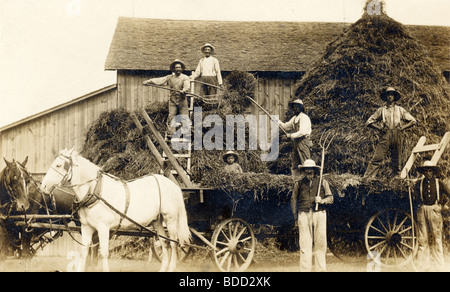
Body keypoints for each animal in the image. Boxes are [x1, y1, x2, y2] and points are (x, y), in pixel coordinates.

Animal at [39, 149, 192, 272]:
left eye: (59, 165)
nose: (43, 186)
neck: (95, 191)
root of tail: (173, 185)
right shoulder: (87, 227)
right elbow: (84, 252)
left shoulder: (103, 228)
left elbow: (104, 253)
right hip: (157, 221)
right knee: (164, 244)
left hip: (170, 219)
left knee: (173, 243)